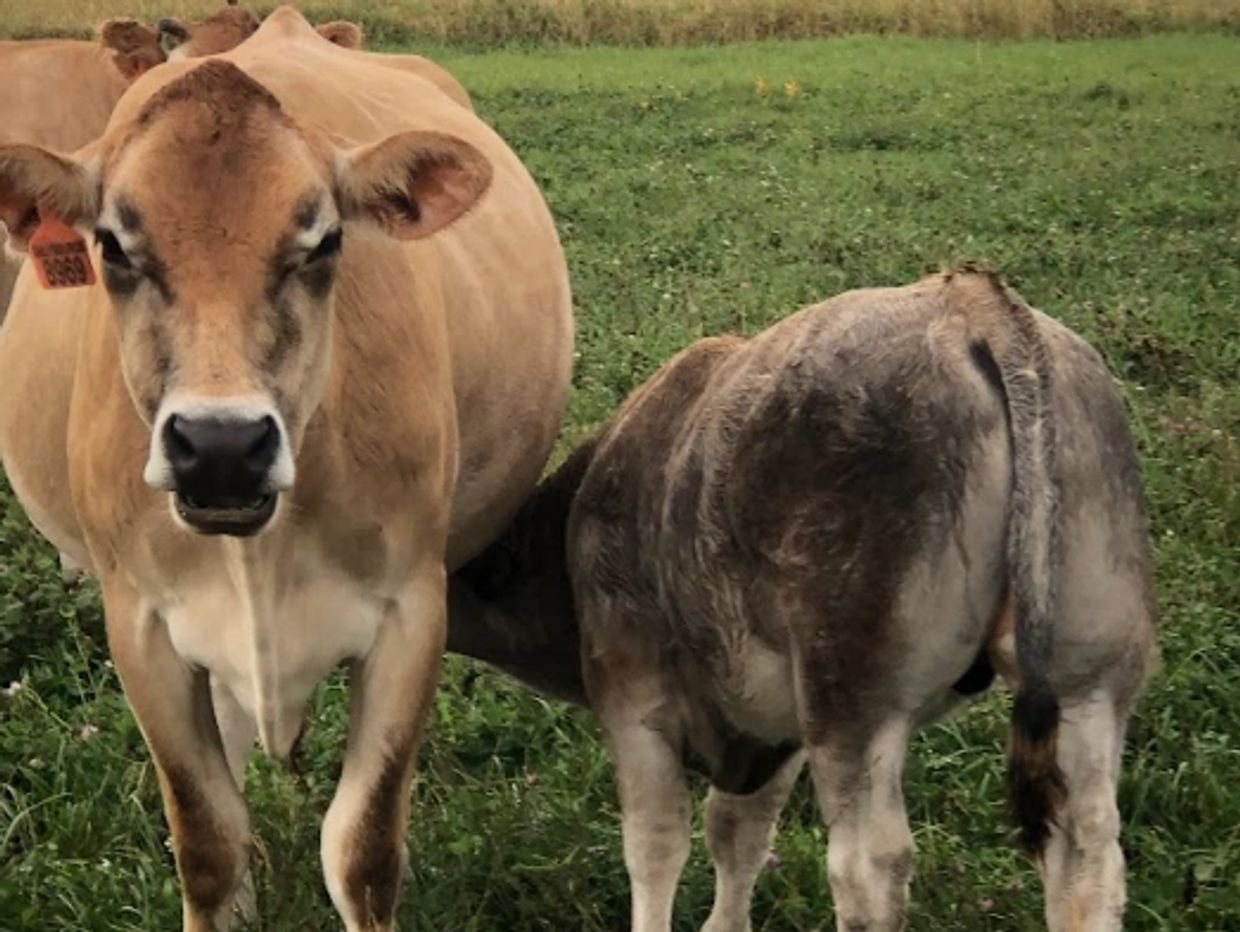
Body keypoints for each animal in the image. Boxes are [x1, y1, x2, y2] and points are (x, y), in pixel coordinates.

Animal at [0, 6, 572, 930]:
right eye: (114, 246)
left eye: (324, 240)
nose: (221, 445)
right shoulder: (139, 621)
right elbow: (207, 842)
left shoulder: (413, 608)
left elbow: (364, 850)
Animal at [449, 269, 1156, 932]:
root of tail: (966, 301)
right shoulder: (772, 725)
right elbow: (738, 834)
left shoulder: (633, 693)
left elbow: (656, 845)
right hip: (1088, 675)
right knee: (1087, 854)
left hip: (852, 697)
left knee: (869, 868)